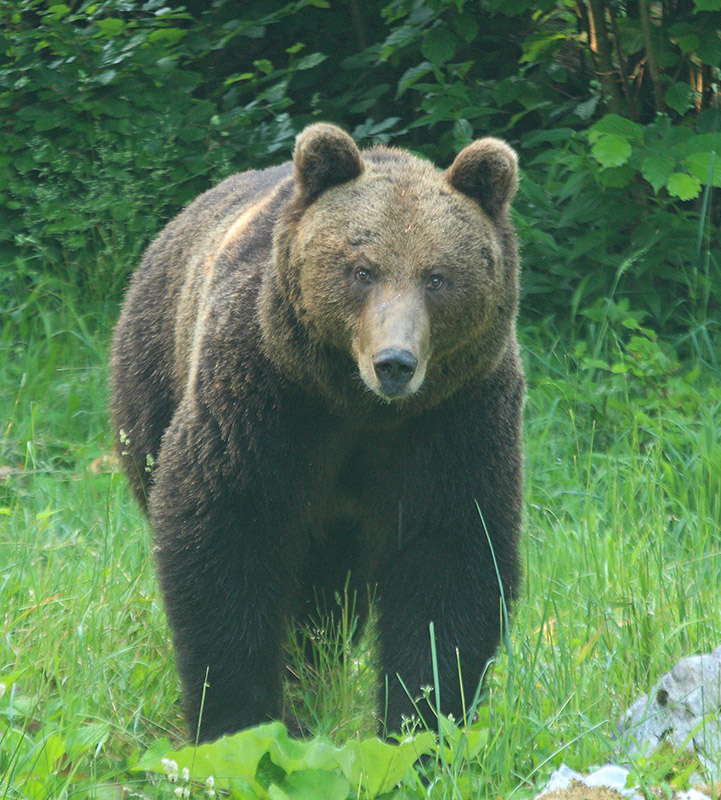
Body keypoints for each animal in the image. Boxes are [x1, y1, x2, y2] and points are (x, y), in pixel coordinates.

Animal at [111, 122, 524, 740]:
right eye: (362, 270)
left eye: (437, 277)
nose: (395, 363)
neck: (360, 406)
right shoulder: (267, 394)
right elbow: (225, 529)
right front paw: (240, 719)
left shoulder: (455, 416)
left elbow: (452, 557)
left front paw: (421, 721)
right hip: (152, 377)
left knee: (328, 591)